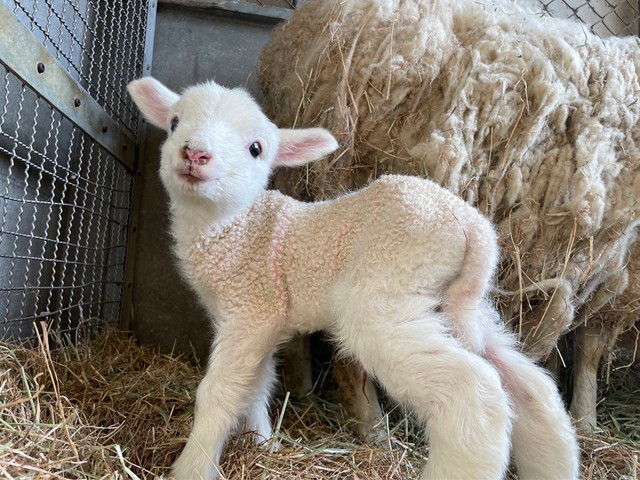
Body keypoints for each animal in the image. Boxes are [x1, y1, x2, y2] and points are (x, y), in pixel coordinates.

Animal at [127, 78, 576, 480]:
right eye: (173, 122)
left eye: (256, 149)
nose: (194, 153)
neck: (235, 226)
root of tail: (475, 231)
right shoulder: (261, 319)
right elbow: (257, 385)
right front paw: (262, 442)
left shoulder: (251, 307)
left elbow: (218, 392)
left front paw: (192, 467)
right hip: (460, 305)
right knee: (529, 387)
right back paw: (554, 465)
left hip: (386, 294)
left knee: (473, 388)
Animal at [258, 0, 640, 432]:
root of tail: (323, 33)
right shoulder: (613, 263)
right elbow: (590, 343)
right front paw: (585, 417)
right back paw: (371, 425)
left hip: (302, 195)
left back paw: (302, 387)